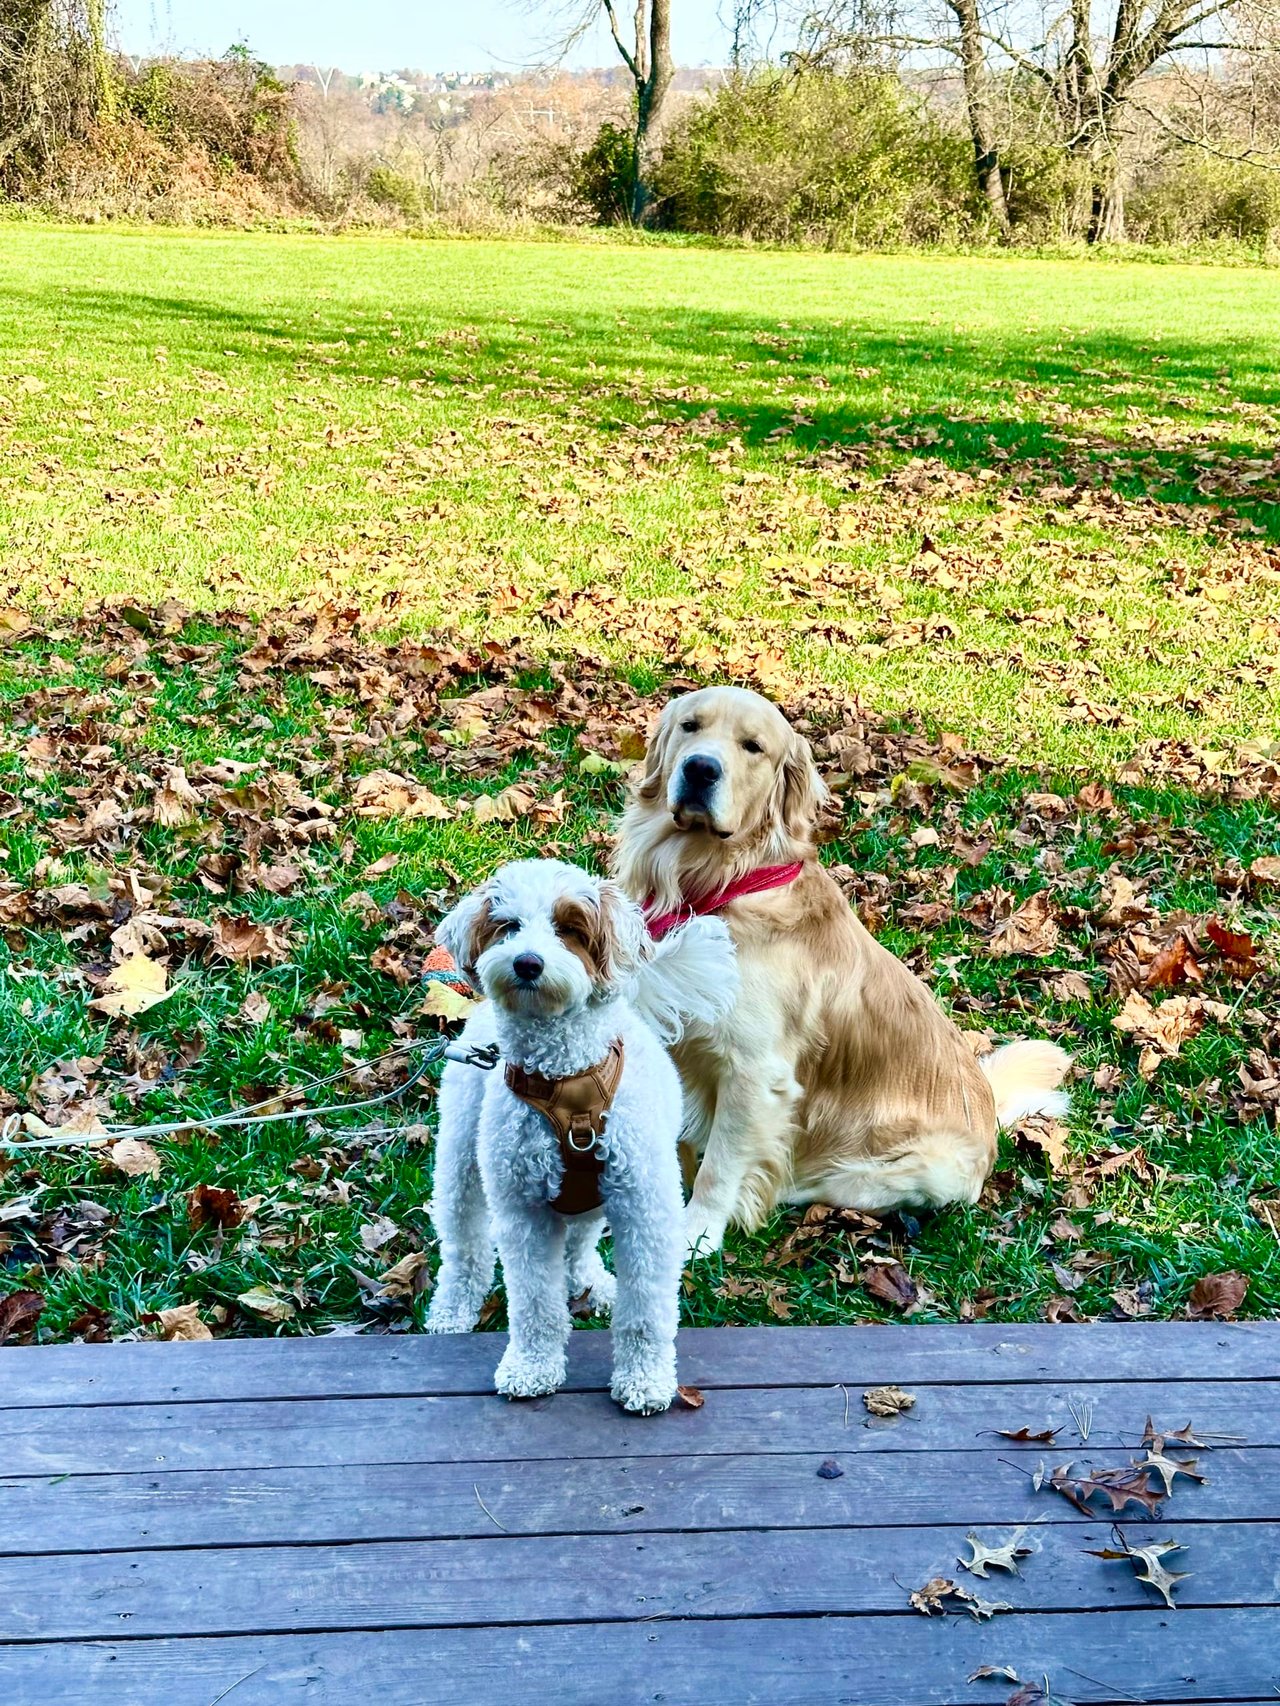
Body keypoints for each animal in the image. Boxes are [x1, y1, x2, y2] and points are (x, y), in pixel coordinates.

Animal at [426, 859, 737, 1419]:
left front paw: (645, 1380)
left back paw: (591, 1281)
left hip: (594, 1198)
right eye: (508, 926)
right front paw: (532, 1367)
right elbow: (534, 1304)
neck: (567, 1079)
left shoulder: (644, 1207)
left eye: (570, 929)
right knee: (465, 1247)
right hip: (461, 1159)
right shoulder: (523, 1212)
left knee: (580, 1243)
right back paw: (453, 1309)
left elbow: (646, 1311)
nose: (527, 963)